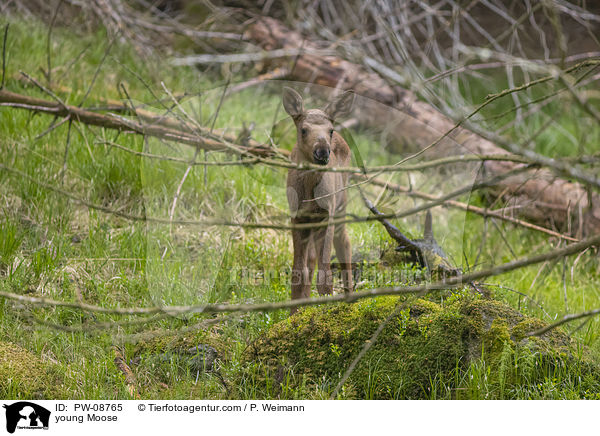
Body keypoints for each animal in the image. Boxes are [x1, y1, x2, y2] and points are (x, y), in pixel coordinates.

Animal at [284, 87, 354, 306]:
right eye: (303, 130)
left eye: (329, 130)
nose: (322, 151)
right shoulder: (297, 217)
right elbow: (298, 273)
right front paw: (295, 312)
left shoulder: (326, 215)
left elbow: (325, 277)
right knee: (311, 259)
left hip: (341, 205)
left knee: (344, 243)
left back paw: (350, 298)